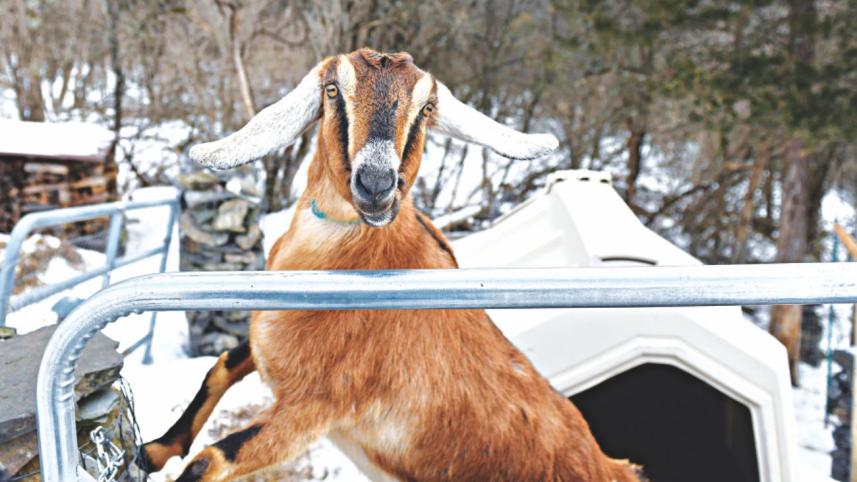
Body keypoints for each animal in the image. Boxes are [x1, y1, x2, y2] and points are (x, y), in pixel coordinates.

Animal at [139, 48, 643, 482]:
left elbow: (210, 461)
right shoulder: (265, 352)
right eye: (333, 90)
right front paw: (152, 451)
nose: (377, 184)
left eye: (426, 108)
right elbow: (221, 365)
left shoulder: (312, 408)